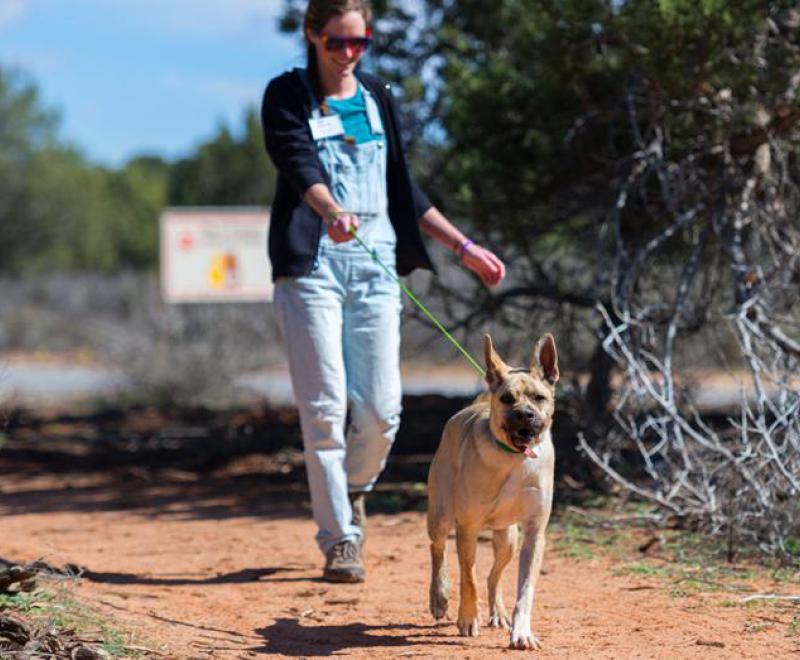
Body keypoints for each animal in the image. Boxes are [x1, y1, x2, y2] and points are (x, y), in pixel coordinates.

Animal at [424, 332, 556, 652]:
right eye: (507, 399)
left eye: (539, 398)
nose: (525, 415)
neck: (515, 459)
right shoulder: (467, 527)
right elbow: (468, 577)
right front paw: (468, 619)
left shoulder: (534, 532)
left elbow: (525, 589)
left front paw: (521, 632)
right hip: (440, 514)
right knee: (438, 550)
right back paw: (439, 598)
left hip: (508, 538)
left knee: (493, 574)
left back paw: (498, 612)